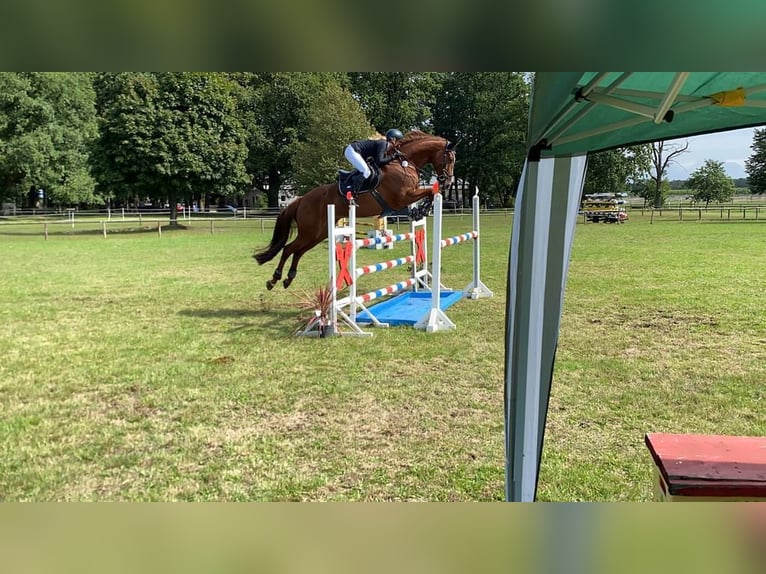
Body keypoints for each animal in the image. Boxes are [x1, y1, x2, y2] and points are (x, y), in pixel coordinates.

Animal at [255, 133, 460, 290]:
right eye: (449, 159)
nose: (449, 182)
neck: (404, 164)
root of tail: (300, 200)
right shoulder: (403, 197)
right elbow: (431, 190)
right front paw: (423, 208)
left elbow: (432, 192)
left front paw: (421, 211)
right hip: (310, 231)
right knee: (289, 248)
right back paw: (274, 279)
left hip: (318, 233)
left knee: (298, 251)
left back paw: (288, 278)